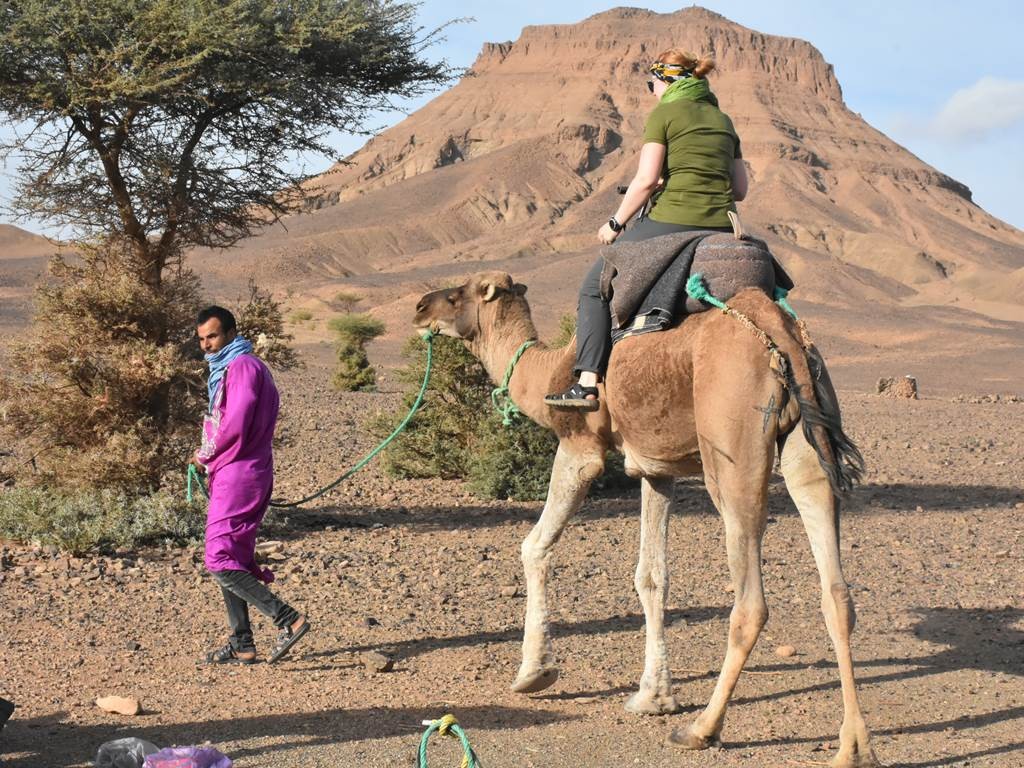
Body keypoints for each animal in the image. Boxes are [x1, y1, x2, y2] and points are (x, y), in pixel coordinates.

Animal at [413, 271, 878, 768]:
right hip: (807, 437)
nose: (420, 308)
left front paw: (533, 674)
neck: (547, 371)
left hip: (733, 449)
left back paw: (701, 729)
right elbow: (651, 577)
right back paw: (854, 746)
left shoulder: (581, 447)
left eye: (455, 295)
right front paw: (653, 697)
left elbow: (534, 545)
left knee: (751, 600)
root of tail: (780, 333)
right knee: (836, 589)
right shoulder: (657, 467)